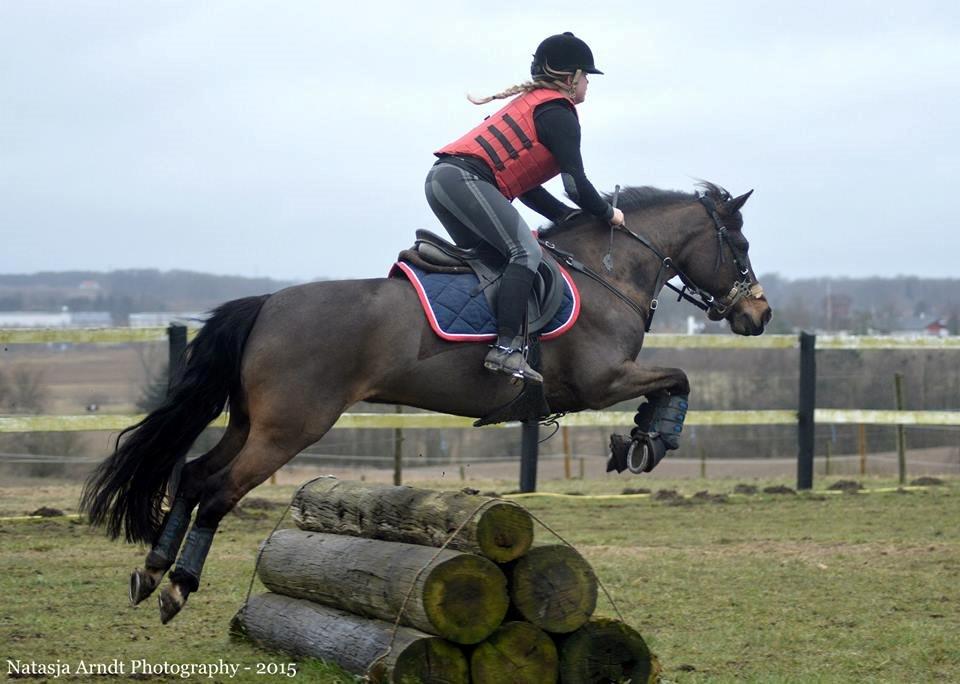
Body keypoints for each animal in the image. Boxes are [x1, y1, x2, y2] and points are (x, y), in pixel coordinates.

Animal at [80, 179, 772, 624]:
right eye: (738, 247)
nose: (758, 315)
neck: (606, 270)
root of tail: (267, 304)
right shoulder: (602, 382)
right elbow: (678, 378)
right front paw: (649, 439)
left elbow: (675, 379)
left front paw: (640, 439)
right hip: (288, 428)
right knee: (219, 490)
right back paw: (178, 587)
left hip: (251, 422)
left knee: (195, 476)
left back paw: (152, 570)